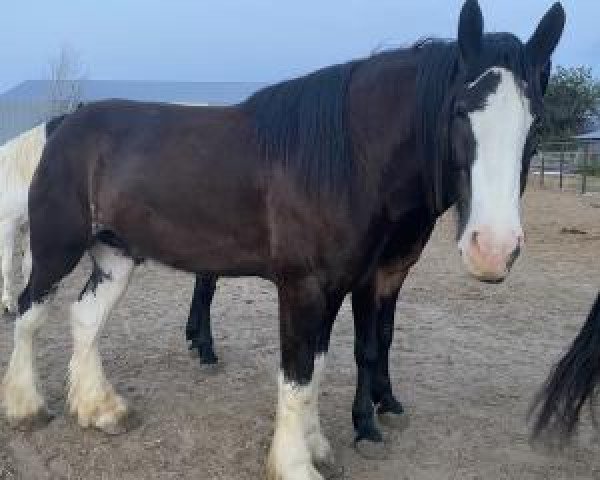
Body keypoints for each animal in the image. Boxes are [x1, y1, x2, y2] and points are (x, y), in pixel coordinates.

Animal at [2, 1, 564, 478]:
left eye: (535, 124)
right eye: (460, 112)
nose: (493, 250)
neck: (343, 159)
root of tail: (64, 124)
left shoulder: (338, 287)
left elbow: (316, 368)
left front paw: (318, 447)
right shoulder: (302, 287)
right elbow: (296, 374)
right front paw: (296, 464)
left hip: (115, 253)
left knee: (86, 317)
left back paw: (100, 409)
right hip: (56, 248)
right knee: (29, 312)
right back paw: (26, 406)